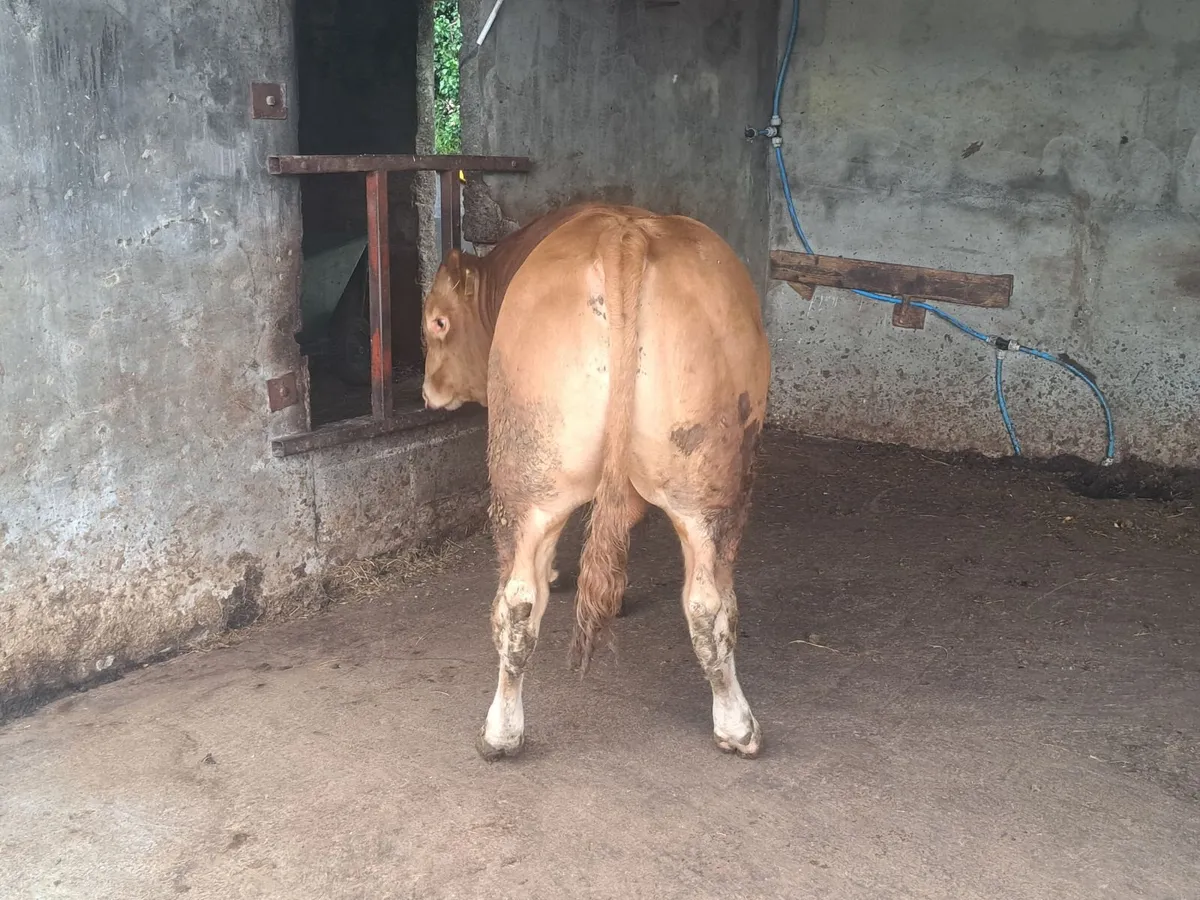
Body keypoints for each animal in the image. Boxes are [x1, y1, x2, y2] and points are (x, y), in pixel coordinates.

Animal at [421, 203, 770, 760]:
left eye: (438, 320)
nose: (426, 391)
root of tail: (624, 235)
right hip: (710, 483)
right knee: (709, 604)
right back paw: (736, 726)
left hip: (529, 471)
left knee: (517, 601)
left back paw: (501, 733)